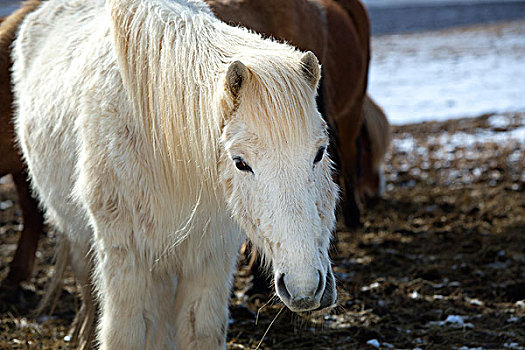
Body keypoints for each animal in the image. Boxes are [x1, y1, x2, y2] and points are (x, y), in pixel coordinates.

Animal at [13, 0, 340, 348]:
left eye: (320, 152)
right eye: (240, 163)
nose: (305, 287)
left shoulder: (209, 260)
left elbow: (200, 331)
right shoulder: (127, 262)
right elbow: (124, 333)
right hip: (79, 238)